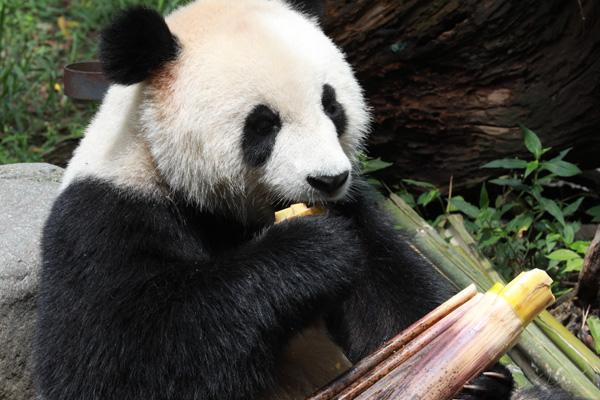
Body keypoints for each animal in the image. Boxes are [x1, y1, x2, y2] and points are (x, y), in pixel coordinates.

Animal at [35, 0, 580, 400]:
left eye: (331, 104)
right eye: (263, 124)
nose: (327, 179)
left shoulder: (359, 209)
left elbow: (395, 300)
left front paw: (475, 375)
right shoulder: (107, 215)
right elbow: (120, 359)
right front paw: (312, 250)